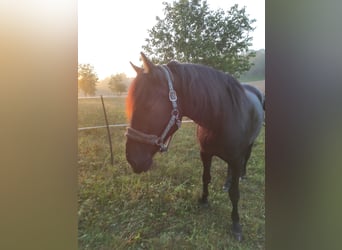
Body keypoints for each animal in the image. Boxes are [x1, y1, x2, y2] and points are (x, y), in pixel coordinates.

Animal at [125, 52, 264, 240]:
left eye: (147, 106)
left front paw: (236, 224)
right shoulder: (205, 153)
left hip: (248, 147)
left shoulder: (236, 158)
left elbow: (235, 194)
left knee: (246, 160)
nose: (132, 160)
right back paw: (227, 182)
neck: (221, 117)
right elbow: (206, 178)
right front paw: (204, 200)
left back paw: (241, 176)